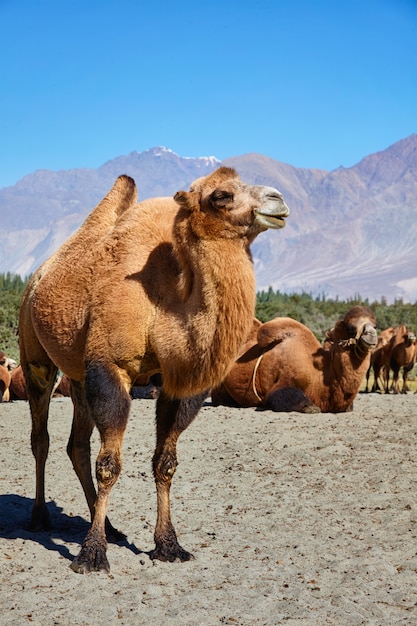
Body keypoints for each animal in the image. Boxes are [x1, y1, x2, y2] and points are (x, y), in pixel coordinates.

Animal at [17, 165, 290, 572]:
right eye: (220, 195)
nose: (278, 199)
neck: (168, 299)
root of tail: (37, 277)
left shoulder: (179, 381)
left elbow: (165, 463)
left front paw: (168, 545)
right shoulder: (111, 367)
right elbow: (109, 465)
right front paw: (91, 555)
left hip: (78, 374)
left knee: (76, 445)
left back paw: (110, 526)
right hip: (35, 356)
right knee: (42, 438)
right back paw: (40, 517)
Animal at [211, 304, 376, 412]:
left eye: (375, 325)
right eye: (351, 327)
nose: (371, 334)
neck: (323, 376)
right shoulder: (284, 381)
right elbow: (294, 400)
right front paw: (310, 407)